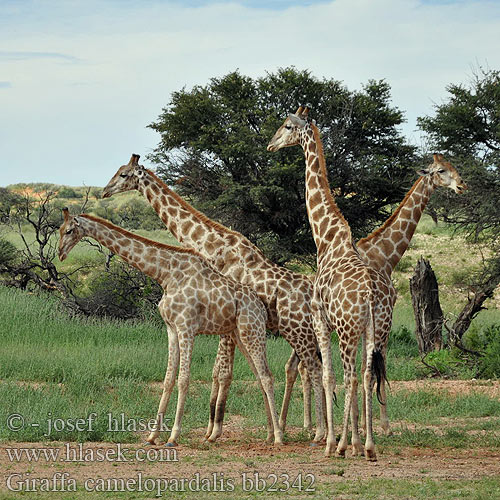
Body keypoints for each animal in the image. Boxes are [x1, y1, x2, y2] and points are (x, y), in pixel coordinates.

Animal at [58, 207, 284, 446]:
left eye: (69, 230)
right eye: (60, 229)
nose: (60, 253)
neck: (165, 274)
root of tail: (261, 306)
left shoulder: (187, 327)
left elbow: (183, 379)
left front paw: (173, 436)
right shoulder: (171, 328)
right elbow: (168, 379)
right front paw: (152, 435)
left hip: (252, 331)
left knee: (267, 376)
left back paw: (279, 436)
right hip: (239, 334)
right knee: (260, 376)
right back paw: (269, 434)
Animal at [103, 155, 326, 442]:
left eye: (123, 174)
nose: (104, 191)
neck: (212, 246)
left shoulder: (226, 323)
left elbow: (223, 373)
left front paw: (214, 430)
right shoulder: (225, 324)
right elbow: (219, 372)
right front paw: (213, 428)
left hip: (297, 330)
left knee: (314, 369)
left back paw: (319, 432)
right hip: (301, 333)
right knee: (300, 368)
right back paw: (299, 426)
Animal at [268, 107, 396, 458]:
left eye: (287, 126)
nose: (271, 144)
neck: (325, 239)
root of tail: (371, 294)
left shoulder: (320, 319)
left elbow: (327, 376)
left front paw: (331, 441)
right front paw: (352, 441)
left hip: (349, 329)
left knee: (351, 376)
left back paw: (338, 446)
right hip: (377, 328)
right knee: (366, 375)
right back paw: (368, 446)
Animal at [288, 154, 466, 436]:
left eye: (454, 167)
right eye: (441, 170)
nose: (461, 185)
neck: (385, 255)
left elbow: (368, 369)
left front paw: (363, 423)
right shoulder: (381, 320)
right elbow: (375, 368)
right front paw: (381, 425)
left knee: (300, 366)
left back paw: (310, 425)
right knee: (307, 367)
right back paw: (315, 427)